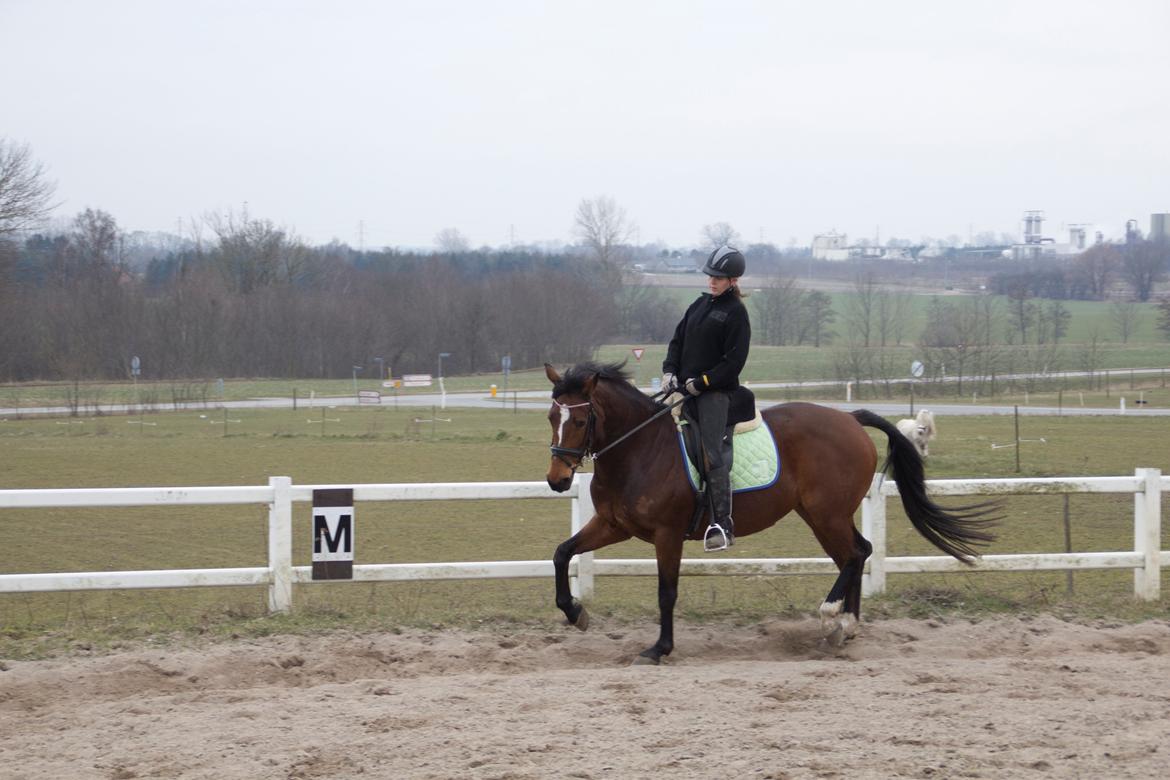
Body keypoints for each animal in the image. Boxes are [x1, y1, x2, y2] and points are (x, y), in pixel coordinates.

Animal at [542, 362, 992, 664]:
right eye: (551, 416)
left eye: (579, 419)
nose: (557, 480)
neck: (640, 449)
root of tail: (849, 418)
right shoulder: (613, 524)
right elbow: (562, 553)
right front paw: (574, 612)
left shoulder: (667, 535)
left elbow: (666, 592)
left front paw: (659, 648)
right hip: (820, 515)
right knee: (856, 554)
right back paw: (844, 628)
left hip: (826, 513)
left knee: (854, 555)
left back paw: (833, 618)